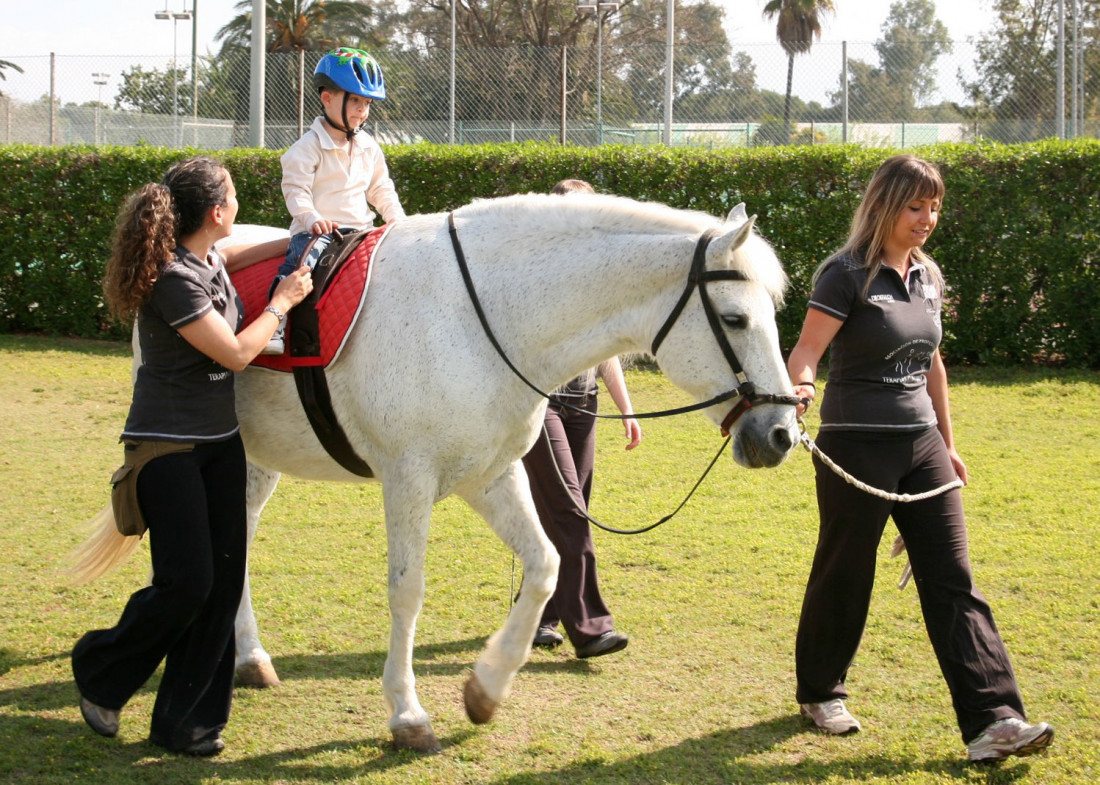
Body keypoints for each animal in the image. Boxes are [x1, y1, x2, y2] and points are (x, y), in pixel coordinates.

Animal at [75, 191, 800, 752]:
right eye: (735, 318)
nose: (783, 433)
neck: (485, 316)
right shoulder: (409, 479)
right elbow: (408, 591)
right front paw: (407, 714)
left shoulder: (491, 475)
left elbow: (545, 564)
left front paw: (485, 690)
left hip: (253, 459)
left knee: (241, 538)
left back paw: (250, 657)